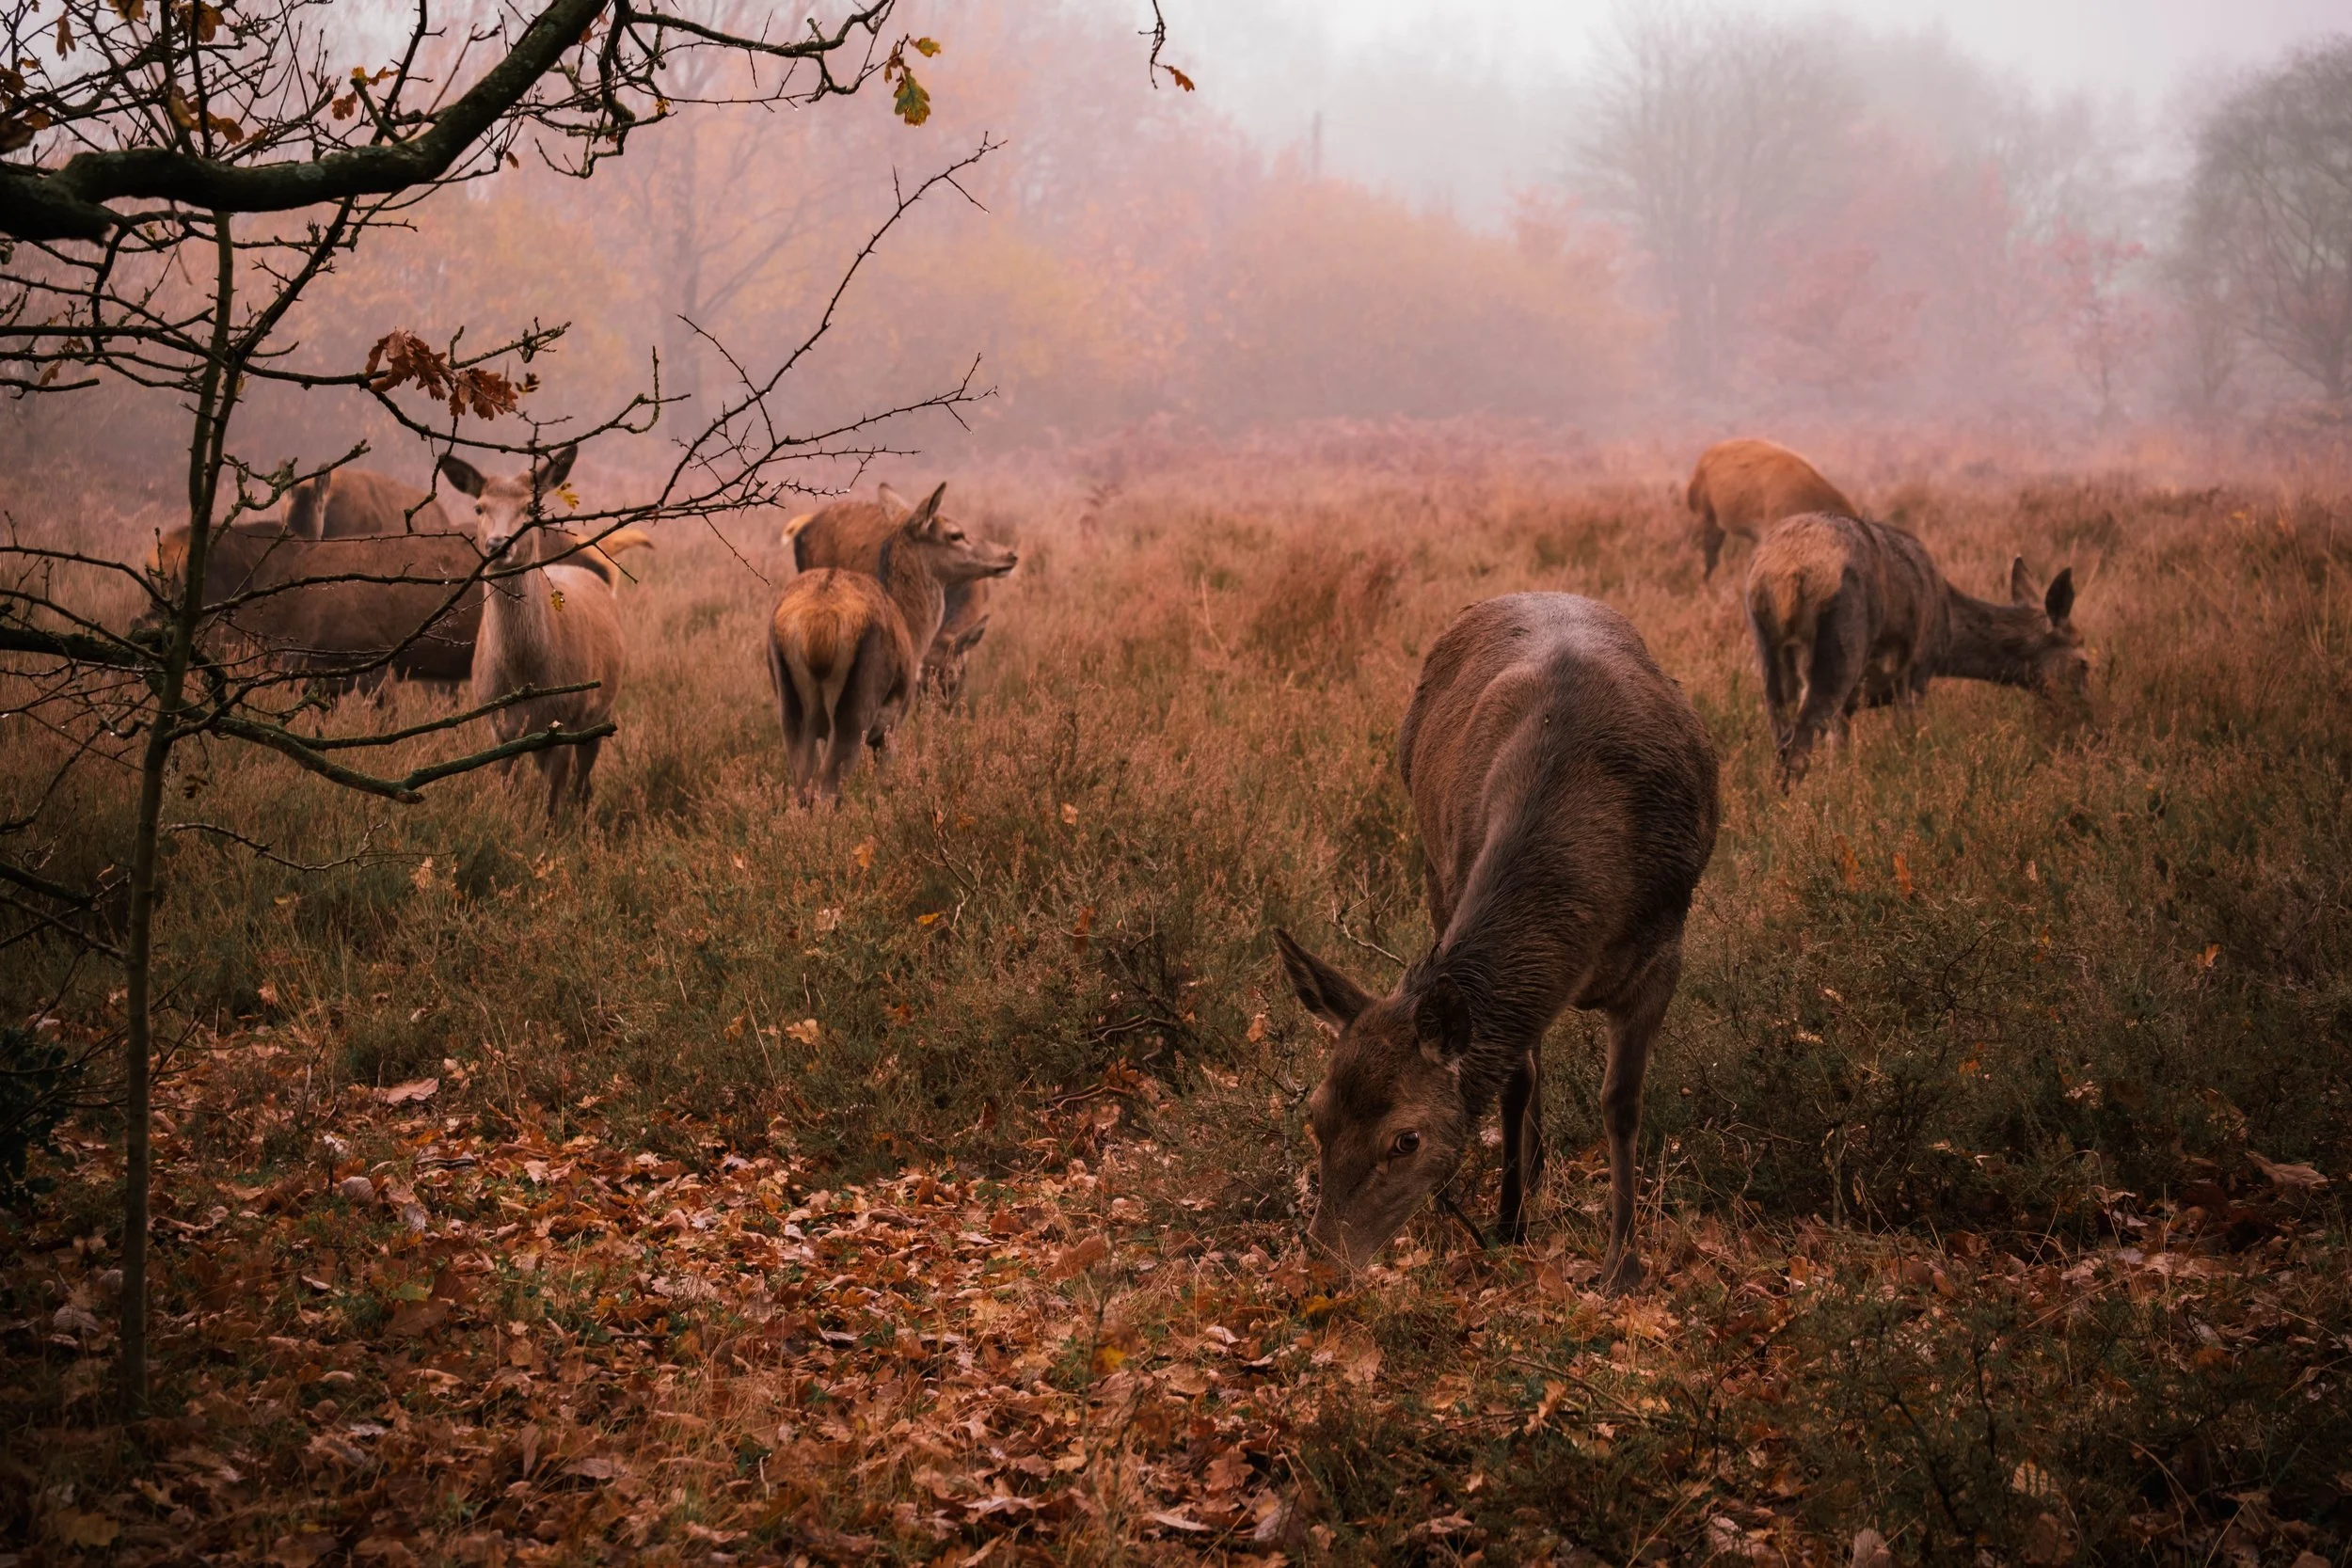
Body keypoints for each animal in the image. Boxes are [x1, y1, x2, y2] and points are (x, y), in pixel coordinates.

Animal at [436, 445, 625, 816]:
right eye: (479, 507)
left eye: (531, 507)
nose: (498, 543)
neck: (525, 674)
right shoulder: (497, 724)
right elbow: (507, 789)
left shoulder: (568, 715)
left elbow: (551, 804)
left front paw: (549, 830)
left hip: (601, 711)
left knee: (583, 781)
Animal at [1273, 593, 1720, 1295]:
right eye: (1315, 1115)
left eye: (1406, 1140)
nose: (1321, 1267)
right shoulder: (1460, 874)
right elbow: (1517, 1076)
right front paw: (1511, 1221)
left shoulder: (1663, 949)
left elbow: (1621, 1102)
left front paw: (1622, 1266)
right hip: (1433, 865)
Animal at [1745, 511, 2087, 787]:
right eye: (2084, 664)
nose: (2087, 726)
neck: (1948, 631)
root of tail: (1787, 572)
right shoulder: (1915, 674)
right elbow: (1908, 741)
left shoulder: (1853, 705)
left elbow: (1838, 757)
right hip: (1843, 649)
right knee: (1797, 743)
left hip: (1769, 655)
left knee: (1781, 732)